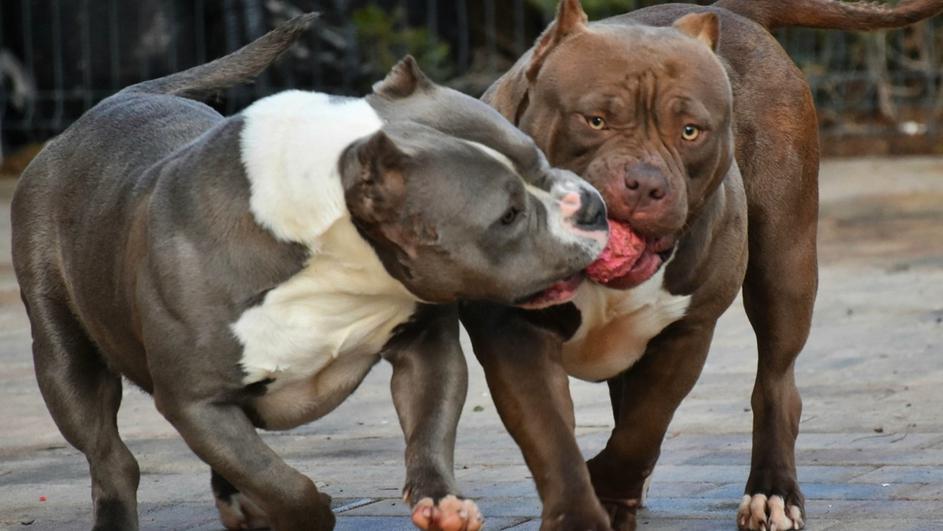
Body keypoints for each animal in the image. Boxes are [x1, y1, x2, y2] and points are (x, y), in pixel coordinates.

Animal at [11, 15, 610, 531]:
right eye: (507, 216)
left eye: (540, 163)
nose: (592, 206)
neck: (336, 255)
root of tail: (116, 98)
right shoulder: (196, 401)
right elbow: (278, 481)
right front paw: (308, 512)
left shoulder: (427, 349)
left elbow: (428, 432)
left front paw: (441, 502)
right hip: (64, 360)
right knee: (111, 457)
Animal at [460, 1, 943, 530]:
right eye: (595, 120)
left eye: (690, 131)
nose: (646, 183)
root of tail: (720, 9)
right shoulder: (513, 335)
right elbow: (553, 437)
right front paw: (586, 507)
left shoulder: (687, 333)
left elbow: (641, 429)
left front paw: (607, 486)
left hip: (785, 270)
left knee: (775, 384)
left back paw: (772, 493)